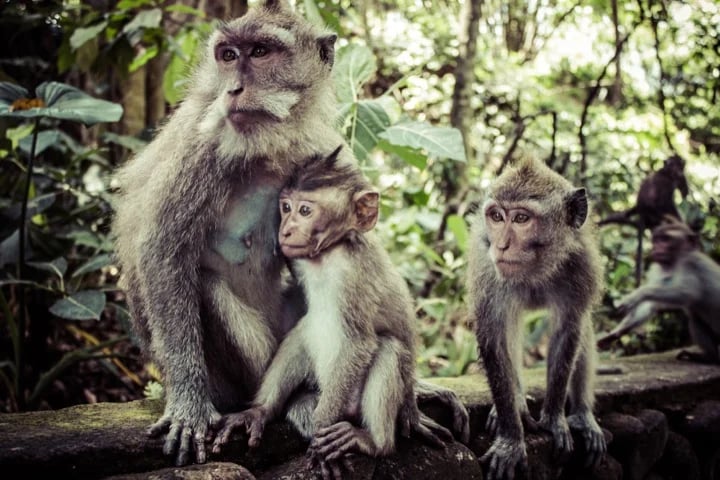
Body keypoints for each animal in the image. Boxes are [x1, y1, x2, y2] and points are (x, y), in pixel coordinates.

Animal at [210, 147, 456, 479]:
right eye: (285, 207)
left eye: (305, 211)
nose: (285, 230)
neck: (328, 255)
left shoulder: (353, 276)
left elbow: (359, 343)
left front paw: (319, 436)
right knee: (303, 333)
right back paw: (259, 411)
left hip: (347, 402)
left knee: (388, 349)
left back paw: (374, 442)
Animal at [465, 157, 606, 480]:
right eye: (496, 216)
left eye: (521, 219)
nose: (501, 245)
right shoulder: (488, 268)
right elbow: (493, 338)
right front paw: (511, 440)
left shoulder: (582, 265)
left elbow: (568, 331)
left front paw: (555, 419)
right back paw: (515, 401)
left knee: (584, 330)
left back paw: (582, 413)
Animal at [597, 217, 720, 364]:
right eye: (656, 239)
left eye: (665, 239)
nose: (656, 248)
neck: (673, 263)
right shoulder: (658, 268)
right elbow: (651, 304)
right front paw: (616, 333)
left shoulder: (691, 263)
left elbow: (687, 292)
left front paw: (637, 295)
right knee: (695, 318)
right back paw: (710, 357)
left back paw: (709, 358)